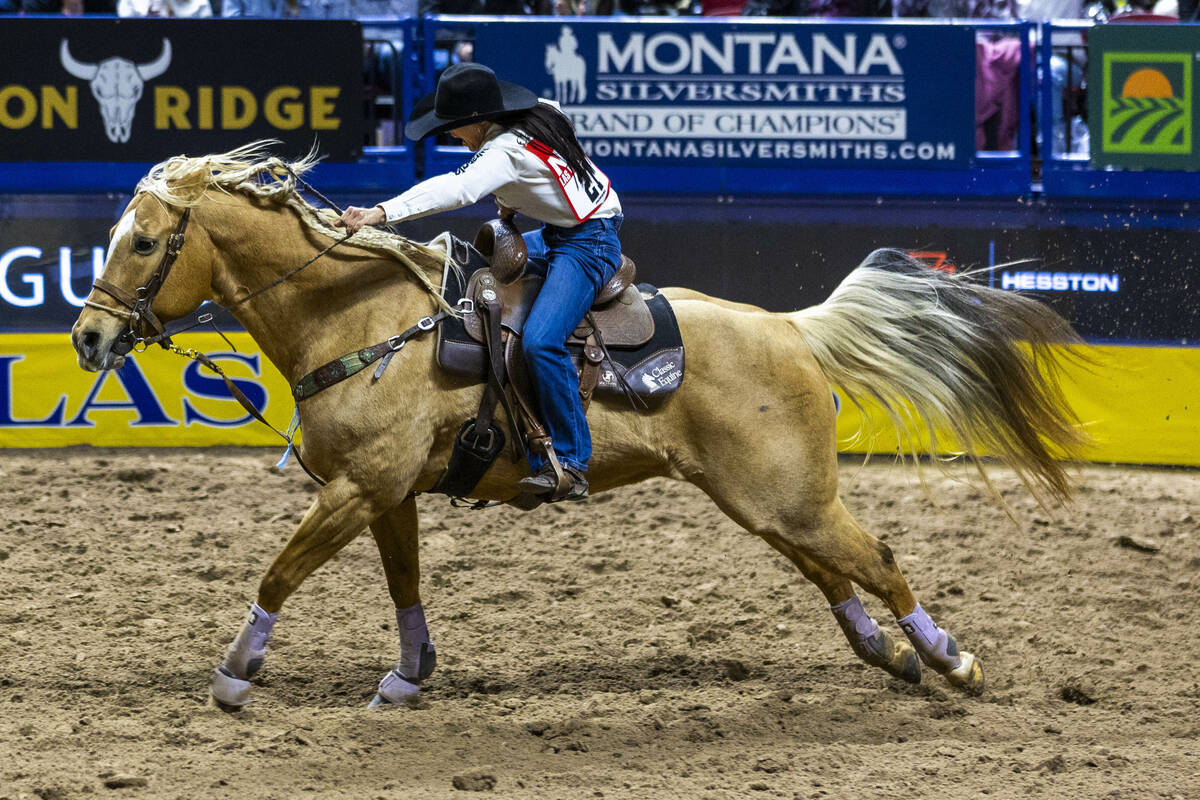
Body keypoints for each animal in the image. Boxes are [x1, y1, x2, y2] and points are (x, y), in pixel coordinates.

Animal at [72, 146, 1089, 710]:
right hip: (765, 499)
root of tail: (789, 326)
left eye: (144, 241)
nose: (88, 336)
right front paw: (409, 676)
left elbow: (277, 574)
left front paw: (235, 676)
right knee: (829, 568)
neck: (358, 319)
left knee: (871, 557)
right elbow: (405, 585)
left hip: (788, 494)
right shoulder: (384, 493)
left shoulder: (360, 488)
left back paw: (952, 662)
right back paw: (891, 655)